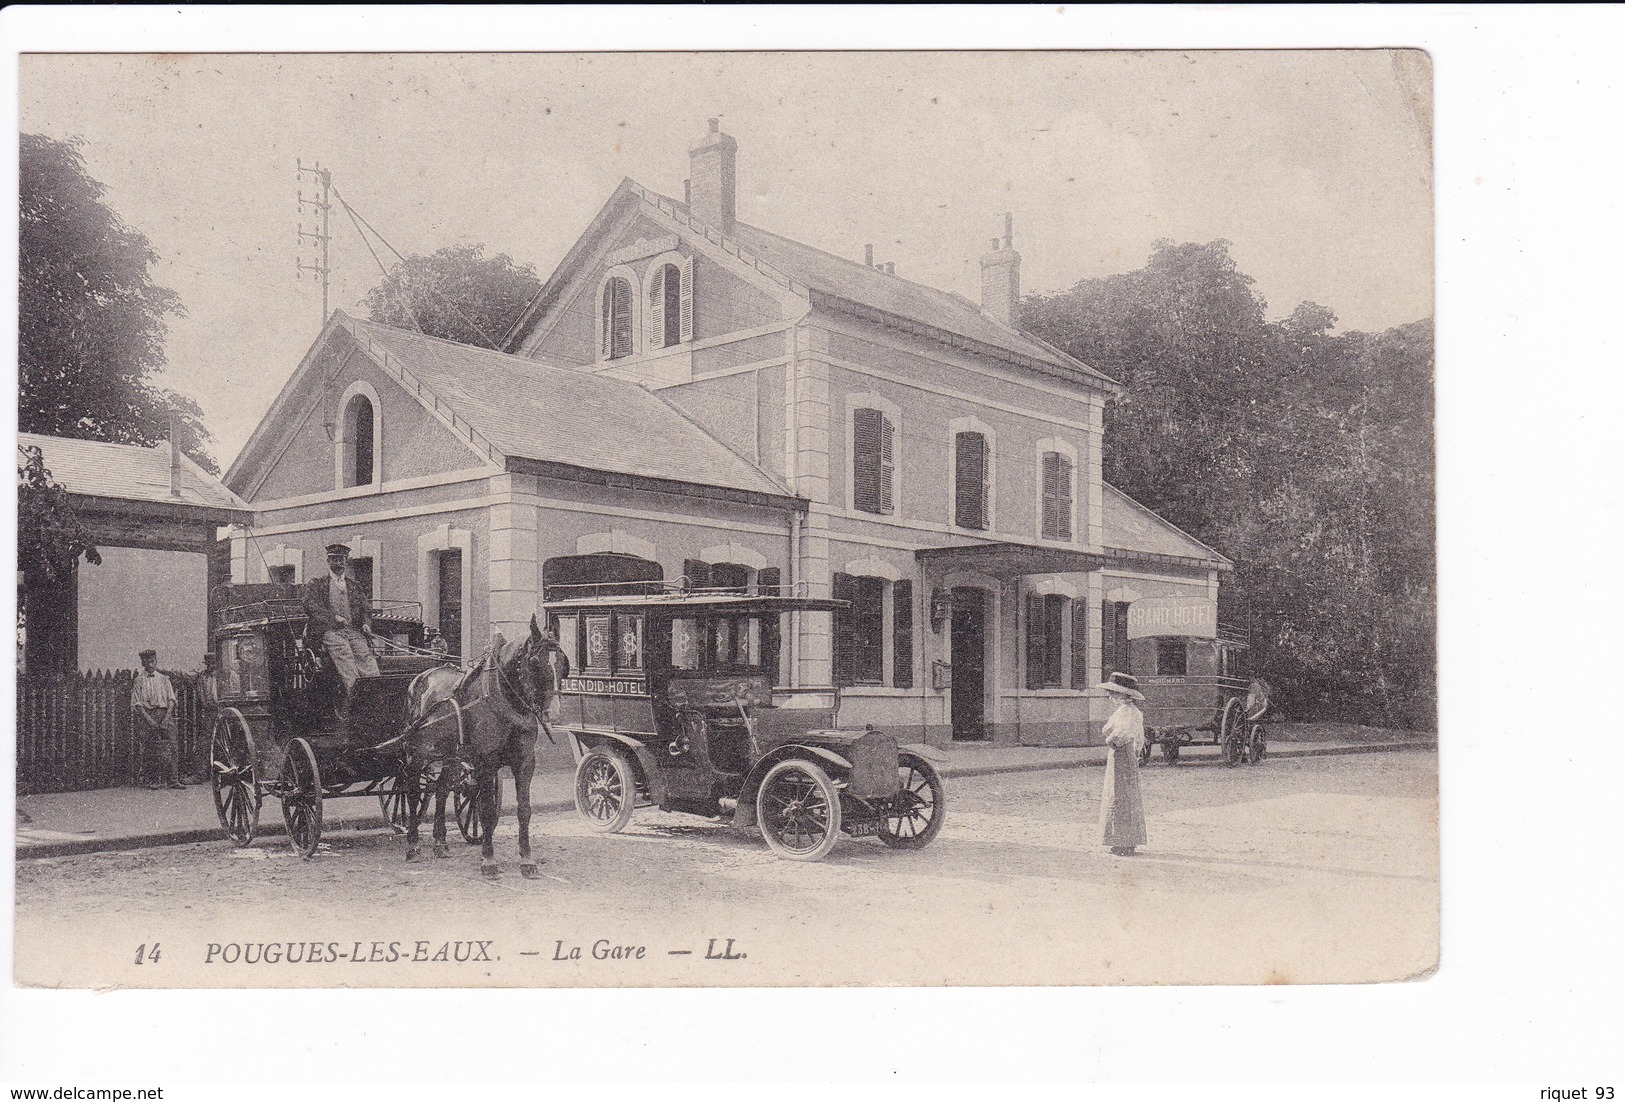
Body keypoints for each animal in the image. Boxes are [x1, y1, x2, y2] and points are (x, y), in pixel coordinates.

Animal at [401, 614, 572, 877]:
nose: (553, 713)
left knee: (441, 789)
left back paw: (440, 843)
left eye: (562, 662)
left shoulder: (525, 761)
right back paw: (412, 846)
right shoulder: (486, 762)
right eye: (534, 662)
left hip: (452, 756)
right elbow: (487, 810)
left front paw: (527, 859)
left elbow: (524, 809)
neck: (507, 700)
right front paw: (488, 860)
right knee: (412, 791)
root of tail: (423, 676)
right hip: (417, 753)